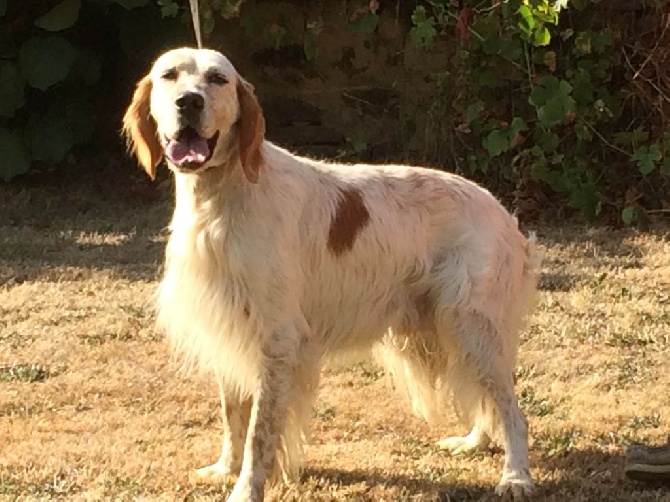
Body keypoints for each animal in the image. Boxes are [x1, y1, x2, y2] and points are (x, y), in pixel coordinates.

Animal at [121, 48, 540, 502]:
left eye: (218, 79)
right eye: (169, 75)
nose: (189, 102)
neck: (223, 196)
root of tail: (506, 219)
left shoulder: (277, 339)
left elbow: (259, 433)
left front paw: (247, 488)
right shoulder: (228, 325)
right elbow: (234, 415)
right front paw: (224, 469)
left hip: (472, 328)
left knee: (512, 411)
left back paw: (516, 477)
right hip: (447, 332)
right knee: (485, 400)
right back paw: (473, 442)